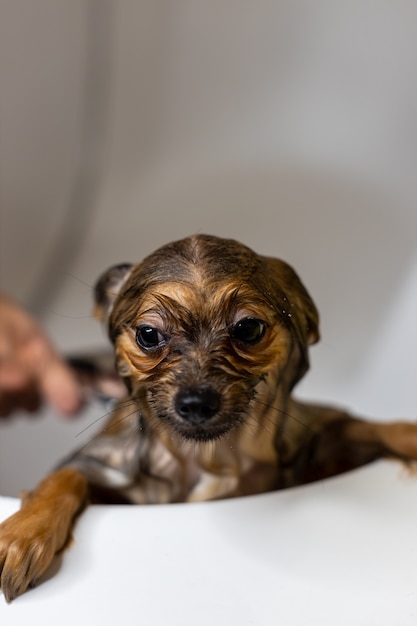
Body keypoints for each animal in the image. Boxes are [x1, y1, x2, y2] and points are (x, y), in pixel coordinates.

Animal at [0, 234, 416, 600]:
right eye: (148, 335)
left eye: (248, 328)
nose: (196, 401)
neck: (206, 458)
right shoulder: (111, 467)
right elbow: (66, 476)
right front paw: (23, 533)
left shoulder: (307, 444)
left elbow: (361, 427)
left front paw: (408, 436)